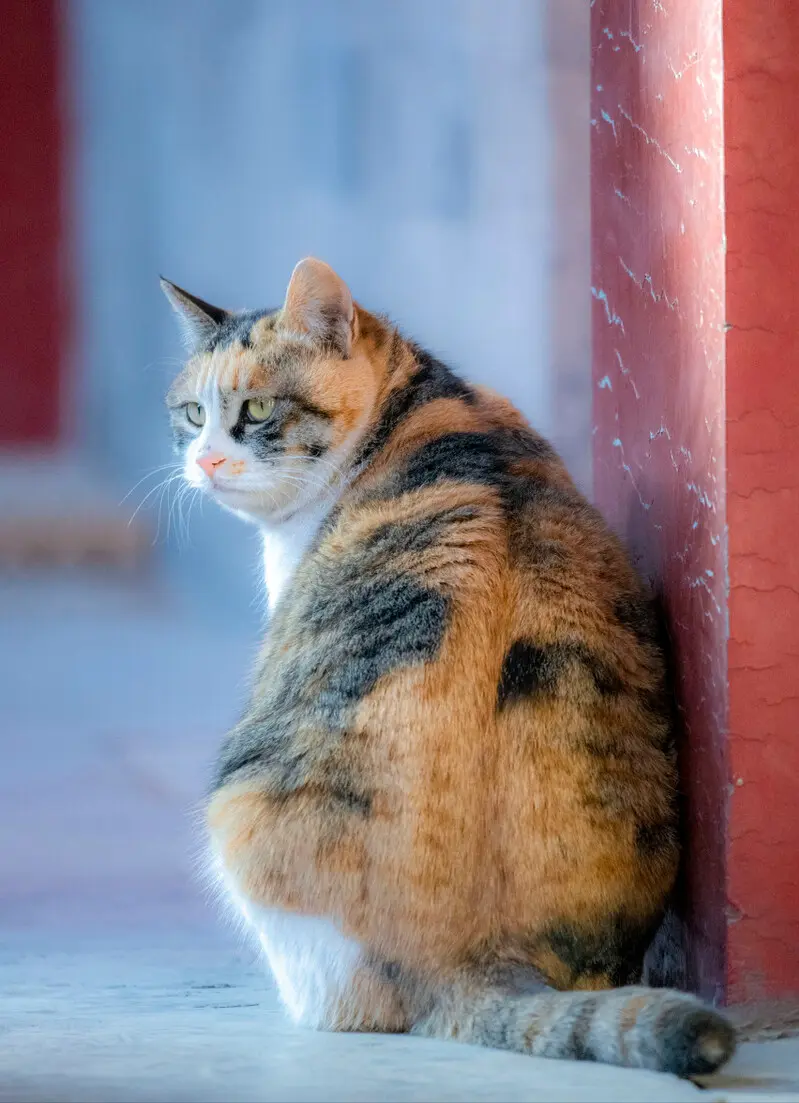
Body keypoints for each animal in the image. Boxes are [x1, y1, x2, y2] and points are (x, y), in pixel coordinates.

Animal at [162, 260, 737, 1076]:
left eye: (258, 410)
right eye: (189, 414)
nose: (204, 460)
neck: (417, 403)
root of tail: (475, 958)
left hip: (235, 805)